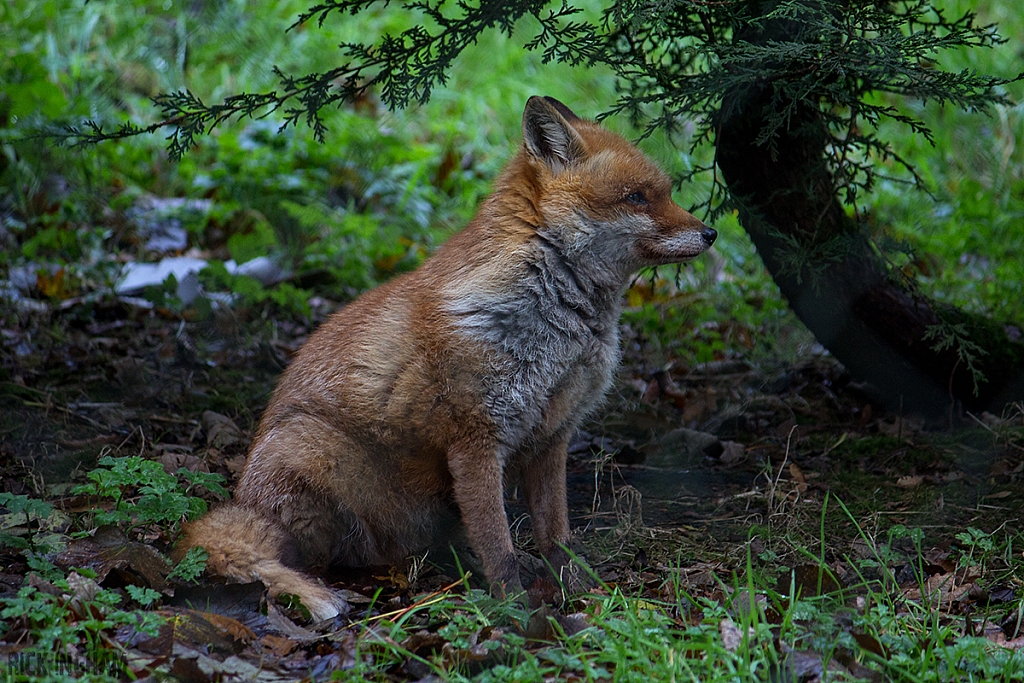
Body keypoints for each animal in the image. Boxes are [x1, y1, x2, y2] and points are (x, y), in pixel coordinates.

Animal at [174, 96, 716, 620]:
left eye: (666, 192)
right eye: (637, 197)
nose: (711, 232)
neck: (562, 330)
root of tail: (245, 496)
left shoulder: (552, 435)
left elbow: (557, 537)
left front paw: (582, 593)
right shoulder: (475, 439)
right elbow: (498, 544)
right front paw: (516, 610)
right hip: (314, 451)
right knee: (324, 556)